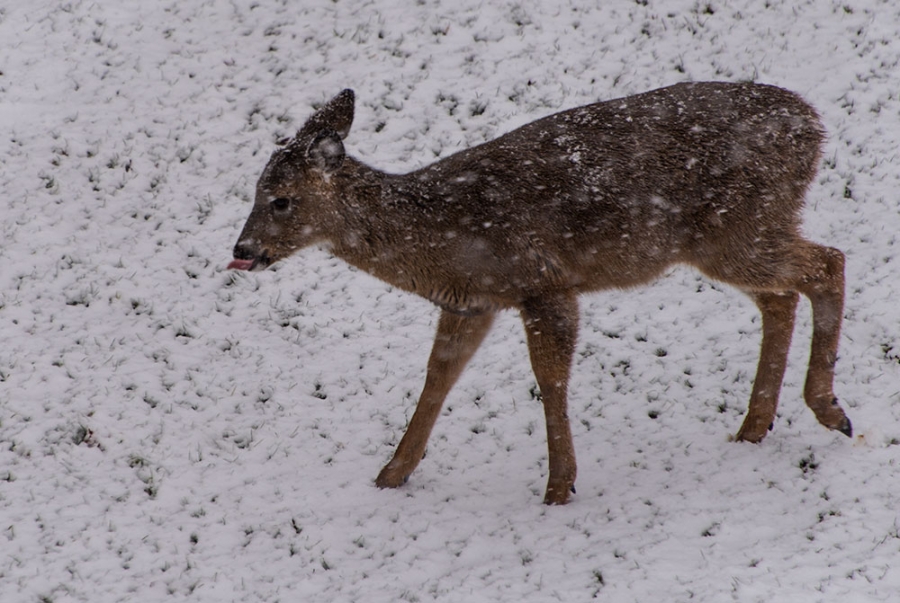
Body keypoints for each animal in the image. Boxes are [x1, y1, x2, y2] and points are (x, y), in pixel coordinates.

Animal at [227, 82, 851, 505]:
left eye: (280, 199)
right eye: (257, 190)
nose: (243, 249)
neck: (443, 236)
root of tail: (814, 126)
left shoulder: (543, 282)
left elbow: (549, 380)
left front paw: (558, 487)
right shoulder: (473, 301)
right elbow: (438, 376)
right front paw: (390, 475)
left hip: (738, 229)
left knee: (828, 263)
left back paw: (829, 411)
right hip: (740, 235)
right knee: (781, 295)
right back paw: (754, 427)